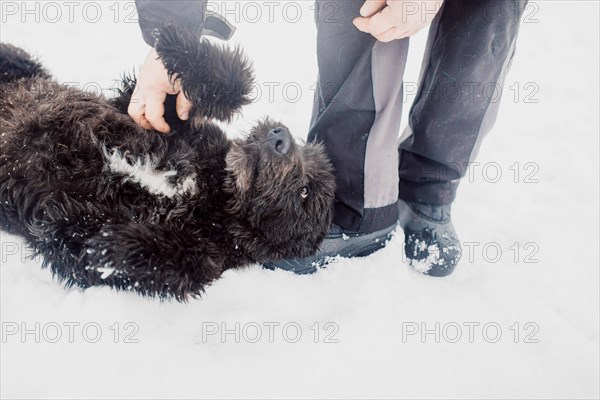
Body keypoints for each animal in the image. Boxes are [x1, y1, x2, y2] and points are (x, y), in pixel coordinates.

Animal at [0, 27, 336, 300]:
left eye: (305, 193)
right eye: (305, 147)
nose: (281, 135)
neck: (211, 187)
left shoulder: (210, 253)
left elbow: (179, 263)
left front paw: (110, 246)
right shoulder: (154, 116)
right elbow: (231, 82)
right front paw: (178, 44)